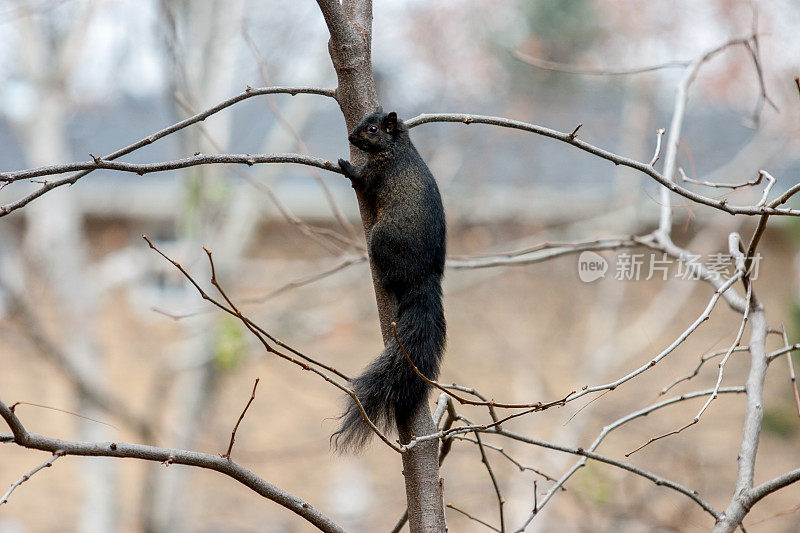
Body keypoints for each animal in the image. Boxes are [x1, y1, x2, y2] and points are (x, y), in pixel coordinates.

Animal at [330, 109, 446, 454]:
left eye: (371, 129)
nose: (350, 137)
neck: (397, 148)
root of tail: (425, 278)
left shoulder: (378, 171)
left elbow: (363, 179)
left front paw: (345, 164)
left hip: (382, 238)